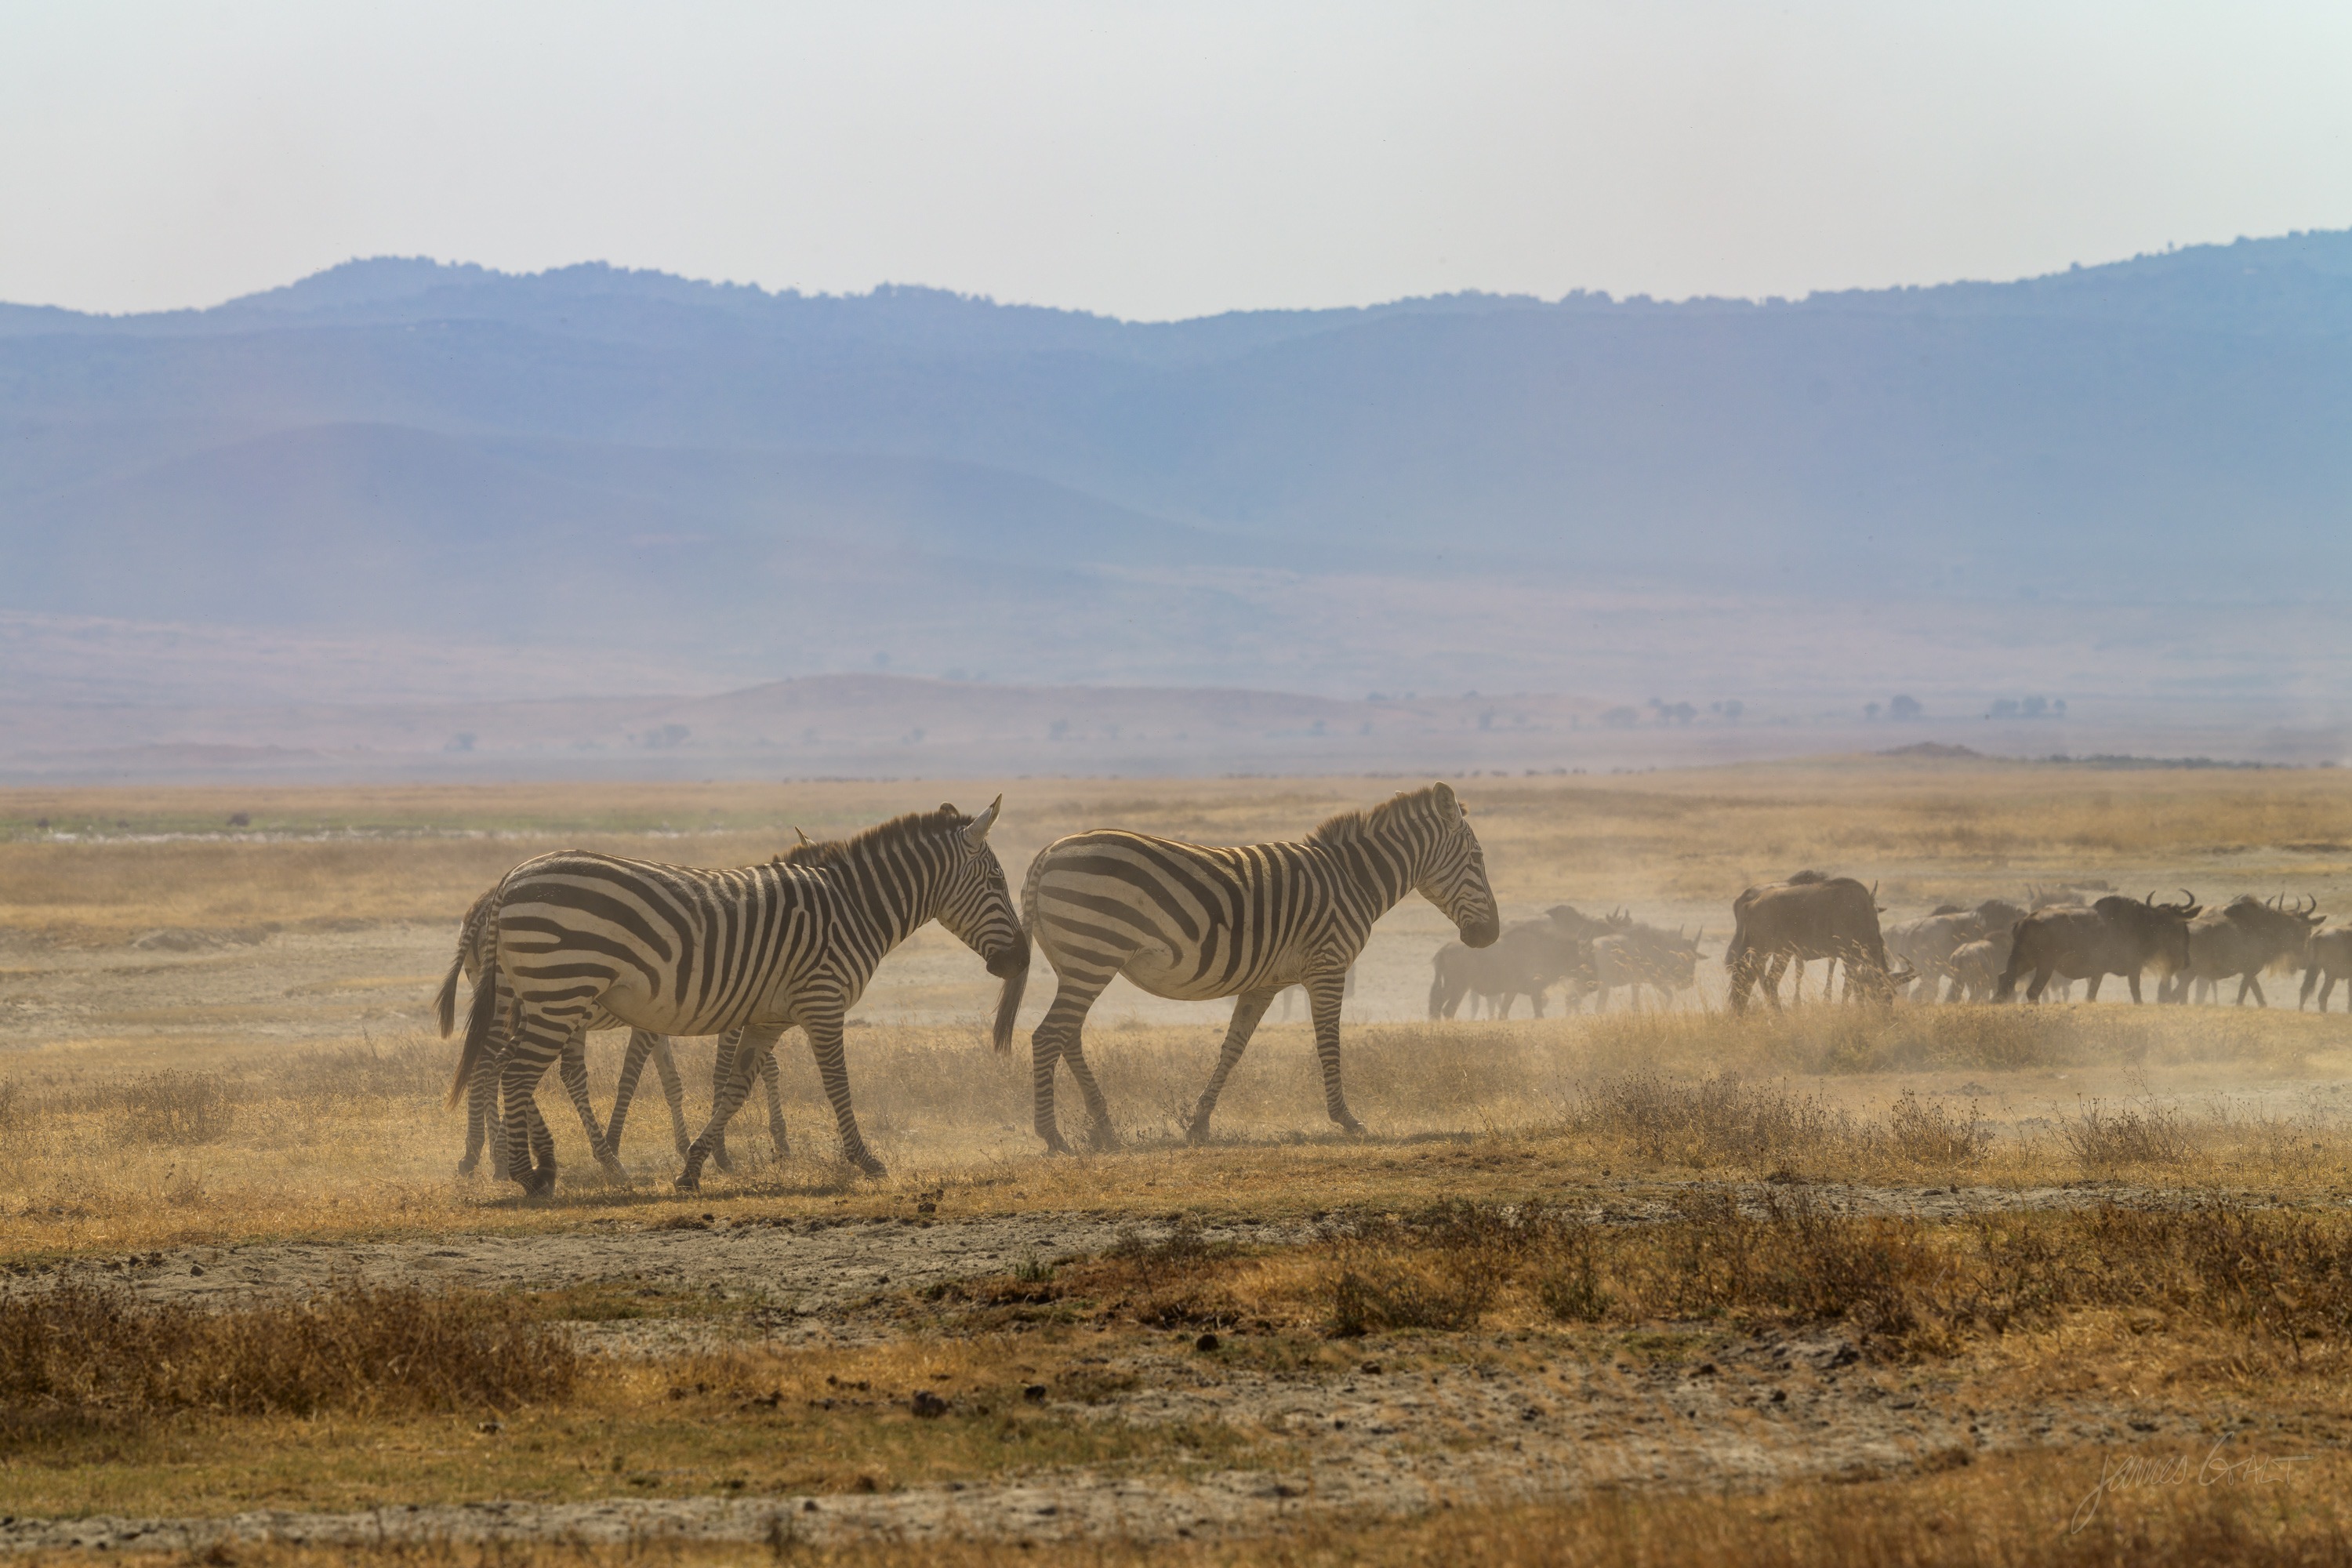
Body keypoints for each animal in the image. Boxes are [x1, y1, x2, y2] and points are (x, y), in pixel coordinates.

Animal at [446, 799, 1025, 1193]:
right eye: (998, 881)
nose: (1020, 959)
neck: (854, 907)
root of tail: (509, 879)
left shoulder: (767, 1016)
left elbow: (735, 1088)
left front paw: (695, 1166)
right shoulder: (822, 1001)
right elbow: (837, 1084)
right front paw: (866, 1160)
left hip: (542, 996)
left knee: (505, 1067)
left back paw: (533, 1164)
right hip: (560, 990)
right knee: (514, 1072)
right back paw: (529, 1174)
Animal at [1018, 782, 1499, 1153]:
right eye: (1477, 859)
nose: (1490, 935)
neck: (1351, 878)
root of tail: (1047, 853)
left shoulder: (1264, 983)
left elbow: (1233, 1048)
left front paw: (1199, 1125)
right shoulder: (1328, 966)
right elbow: (1329, 1043)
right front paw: (1346, 1119)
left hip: (1078, 962)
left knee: (1068, 1036)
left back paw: (1104, 1128)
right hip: (1093, 953)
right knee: (1048, 1036)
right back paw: (1053, 1138)